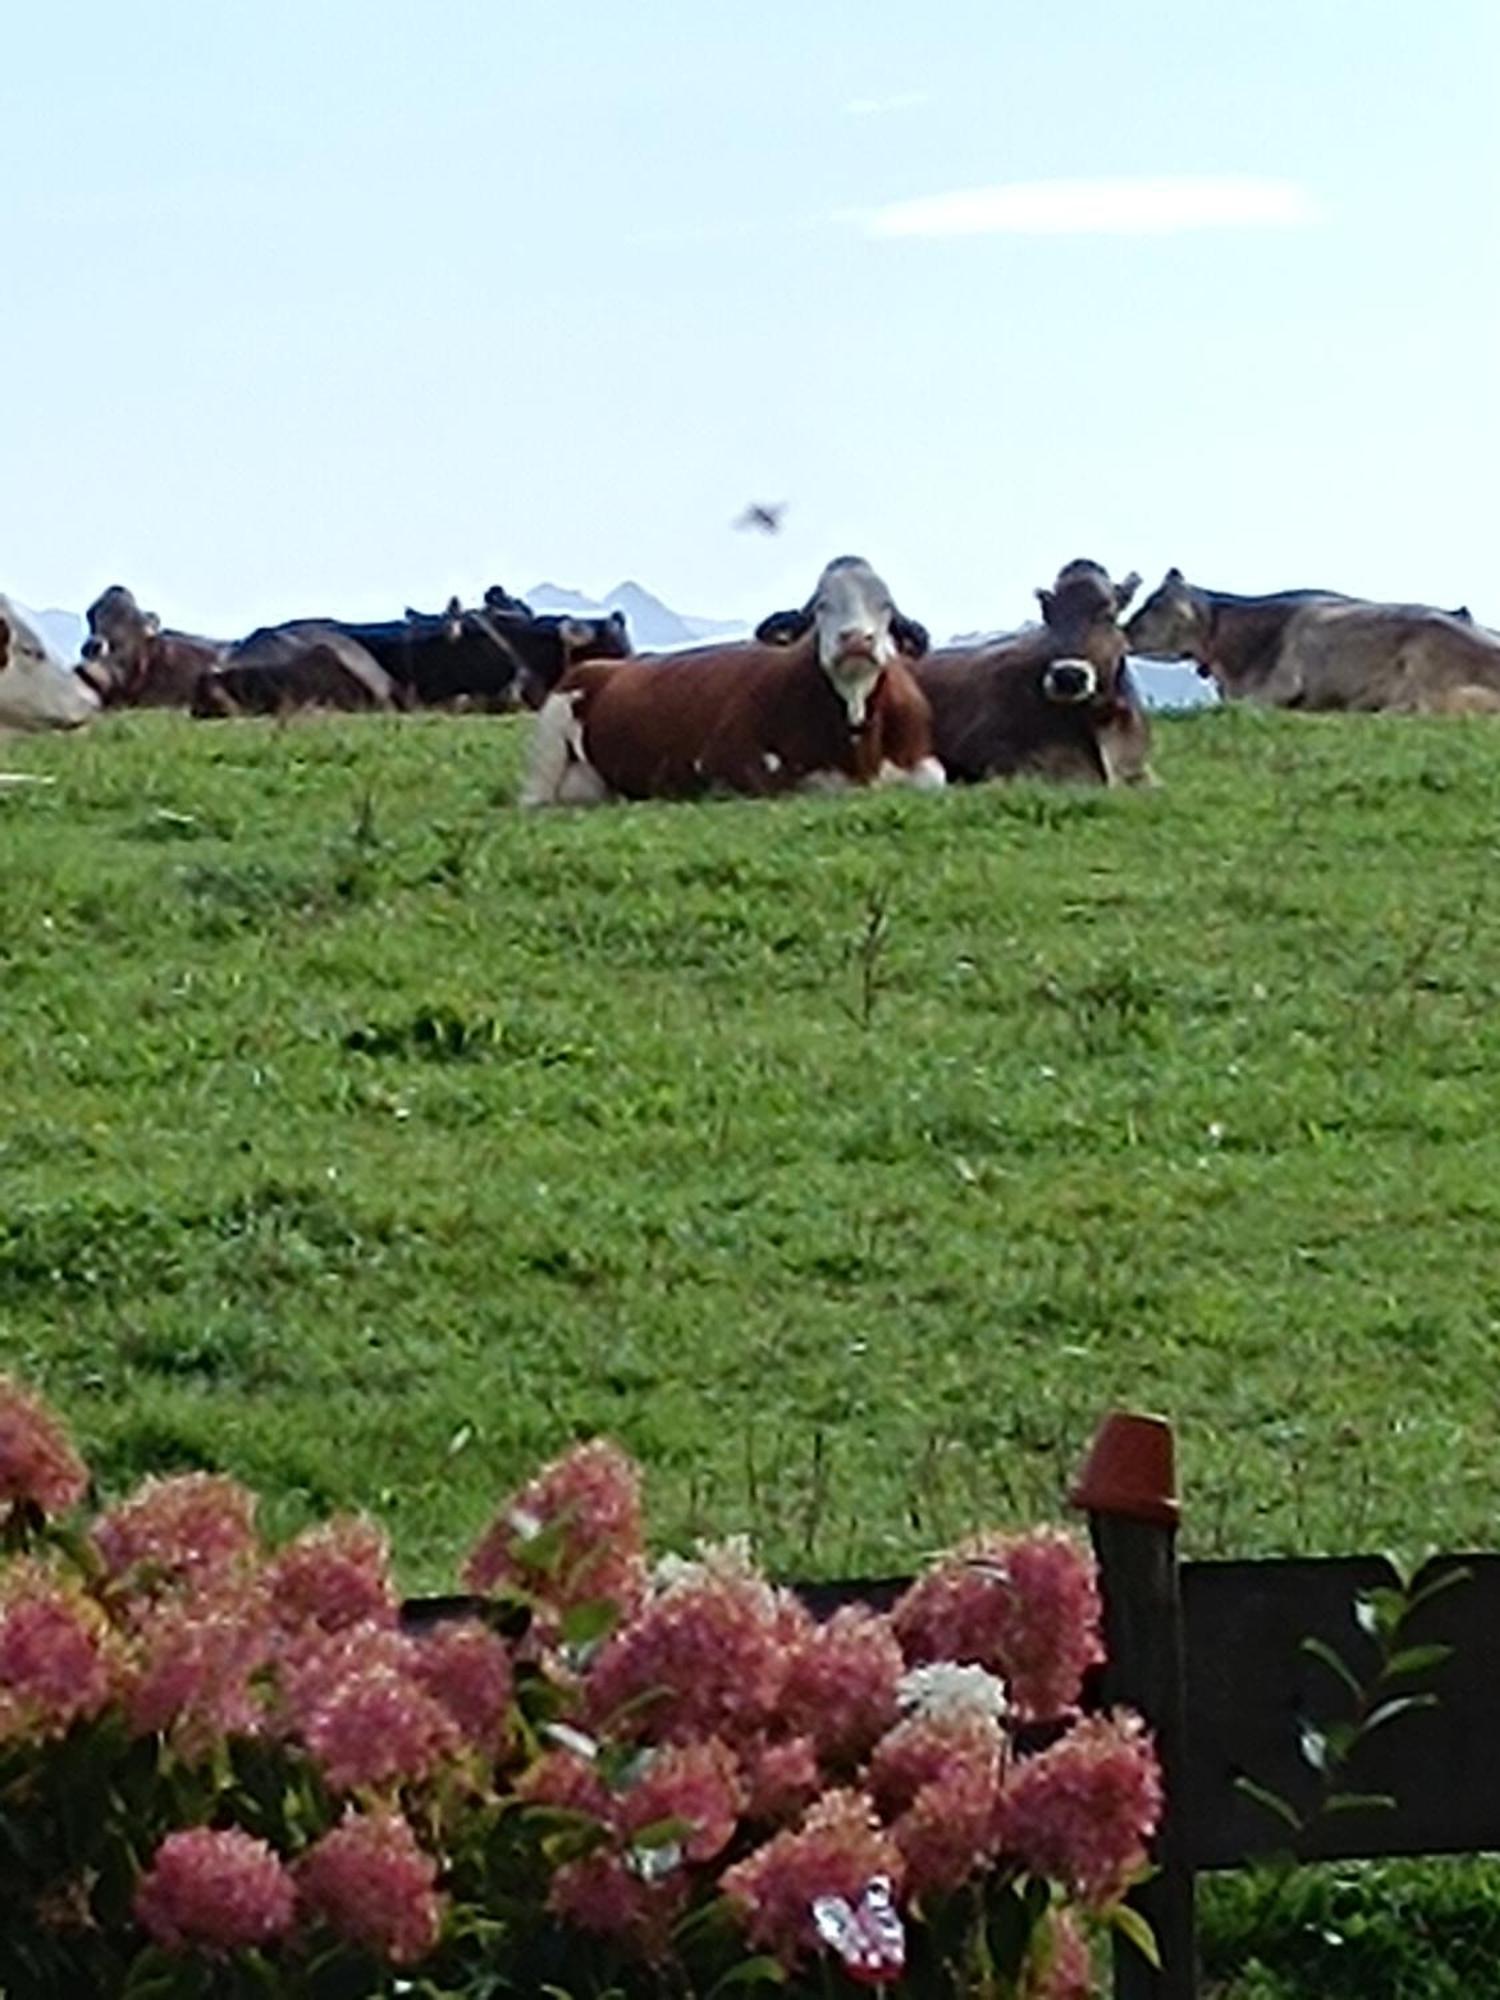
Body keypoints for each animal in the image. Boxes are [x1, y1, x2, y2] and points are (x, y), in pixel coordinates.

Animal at [516, 556, 940, 804]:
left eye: (885, 606)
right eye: (822, 605)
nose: (855, 639)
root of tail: (603, 665)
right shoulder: (724, 763)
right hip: (546, 756)